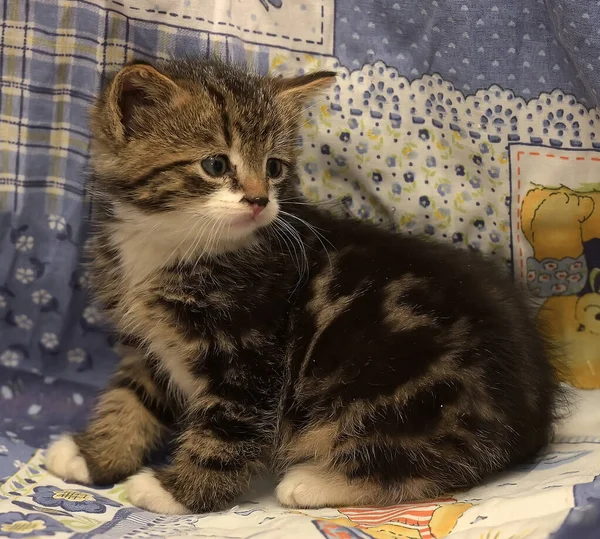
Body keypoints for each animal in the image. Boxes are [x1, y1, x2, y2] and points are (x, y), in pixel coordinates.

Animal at [45, 58, 556, 516]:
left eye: (273, 168)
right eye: (216, 164)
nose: (258, 199)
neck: (175, 246)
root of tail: (533, 405)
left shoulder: (249, 351)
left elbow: (229, 426)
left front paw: (178, 492)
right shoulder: (149, 342)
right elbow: (135, 395)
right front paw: (94, 455)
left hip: (403, 387)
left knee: (448, 460)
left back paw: (313, 482)